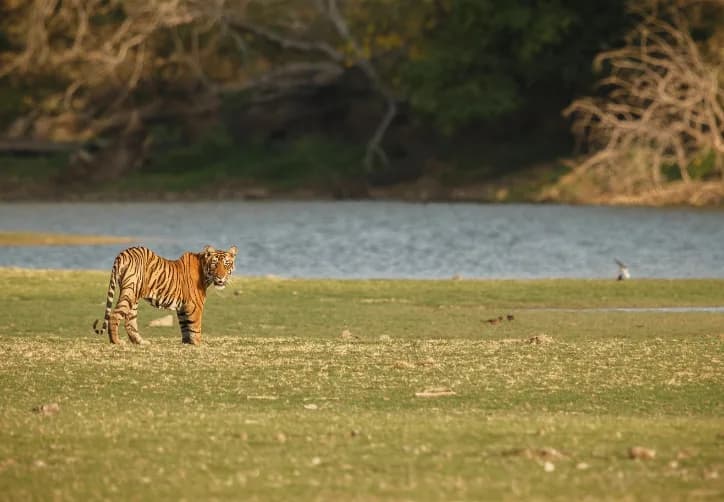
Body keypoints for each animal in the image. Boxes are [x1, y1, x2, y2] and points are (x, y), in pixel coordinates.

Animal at [93, 245, 238, 345]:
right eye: (214, 264)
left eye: (226, 264)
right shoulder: (195, 306)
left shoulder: (183, 308)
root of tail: (123, 253)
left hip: (133, 296)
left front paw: (186, 343)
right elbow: (195, 328)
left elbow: (185, 327)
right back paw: (116, 341)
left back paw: (140, 342)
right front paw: (197, 344)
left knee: (130, 321)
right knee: (115, 315)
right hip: (130, 291)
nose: (221, 277)